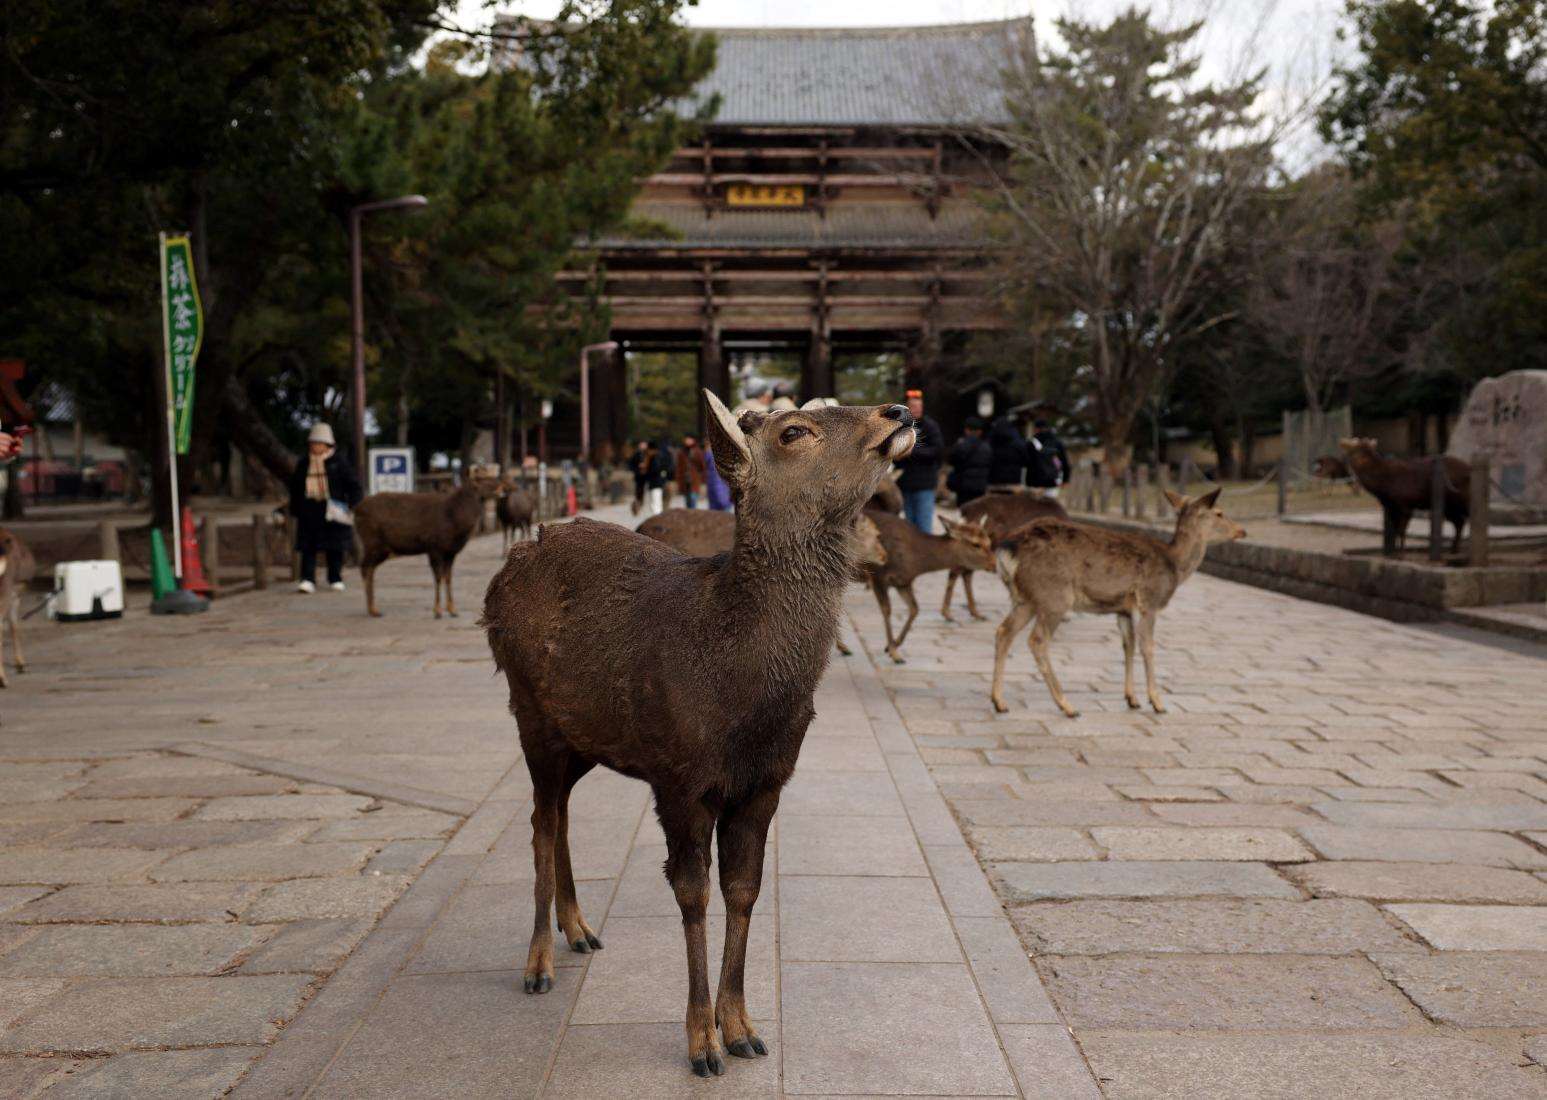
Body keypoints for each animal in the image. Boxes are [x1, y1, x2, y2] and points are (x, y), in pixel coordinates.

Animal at [354, 471, 501, 618]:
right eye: (483, 479)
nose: (502, 487)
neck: (455, 521)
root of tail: (356, 510)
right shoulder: (434, 547)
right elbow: (438, 578)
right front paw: (437, 610)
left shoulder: (450, 552)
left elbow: (448, 578)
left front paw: (452, 609)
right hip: (372, 542)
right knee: (364, 567)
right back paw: (372, 609)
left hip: (381, 549)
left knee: (369, 569)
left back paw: (373, 608)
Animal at [482, 391, 914, 1079]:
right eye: (795, 430)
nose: (896, 411)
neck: (742, 700)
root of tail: (503, 575)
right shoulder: (679, 778)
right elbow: (693, 894)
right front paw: (701, 1044)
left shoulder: (767, 783)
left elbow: (744, 890)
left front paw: (742, 1029)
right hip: (529, 713)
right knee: (541, 821)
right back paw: (538, 963)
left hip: (586, 738)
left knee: (560, 814)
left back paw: (580, 929)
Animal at [860, 508, 994, 663]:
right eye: (976, 544)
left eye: (989, 542)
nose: (994, 564)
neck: (915, 562)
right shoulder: (877, 576)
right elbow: (887, 610)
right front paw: (895, 654)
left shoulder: (903, 582)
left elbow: (914, 609)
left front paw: (891, 646)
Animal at [989, 489, 1245, 718]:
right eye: (1220, 513)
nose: (1241, 531)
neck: (1175, 565)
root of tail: (1006, 550)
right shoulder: (1149, 601)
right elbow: (1148, 647)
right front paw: (1157, 702)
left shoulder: (1123, 609)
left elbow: (1127, 645)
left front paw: (1132, 699)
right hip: (1054, 595)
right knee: (1037, 640)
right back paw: (1067, 706)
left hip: (1025, 599)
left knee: (1004, 631)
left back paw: (999, 701)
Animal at [1338, 438, 1470, 555]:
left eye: (1354, 448)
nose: (1342, 441)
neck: (1383, 489)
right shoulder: (1391, 507)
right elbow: (1396, 530)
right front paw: (1393, 553)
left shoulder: (1405, 504)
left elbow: (1402, 531)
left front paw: (1401, 554)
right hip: (1450, 507)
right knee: (1460, 522)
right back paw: (1454, 550)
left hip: (1460, 500)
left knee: (1465, 519)